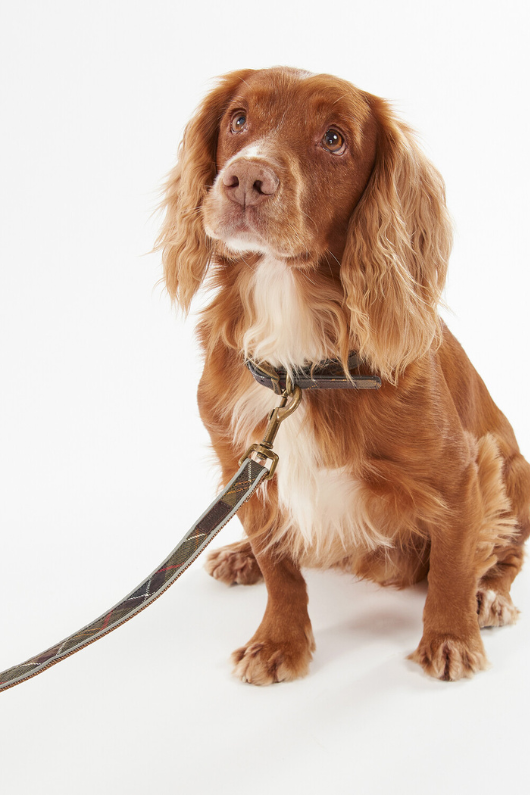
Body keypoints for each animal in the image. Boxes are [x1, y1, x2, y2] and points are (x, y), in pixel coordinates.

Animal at [157, 67, 528, 684]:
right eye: (238, 119)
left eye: (334, 139)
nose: (246, 179)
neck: (298, 364)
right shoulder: (245, 466)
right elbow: (280, 568)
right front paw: (279, 640)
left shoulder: (461, 471)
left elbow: (453, 564)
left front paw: (451, 637)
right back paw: (238, 554)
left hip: (512, 466)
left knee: (504, 551)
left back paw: (491, 596)